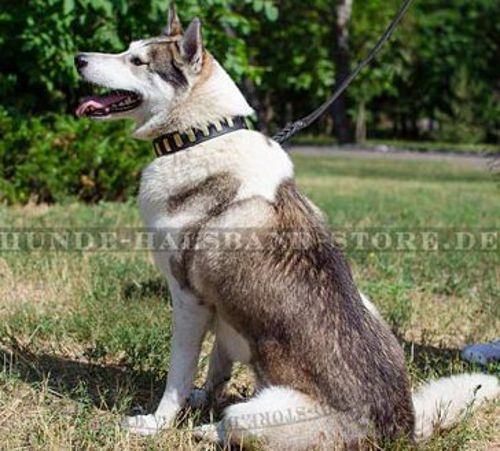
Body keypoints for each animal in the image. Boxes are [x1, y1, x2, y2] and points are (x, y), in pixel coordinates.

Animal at [75, 2, 500, 448]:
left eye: (138, 61)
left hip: (255, 415)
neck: (200, 135)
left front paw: (158, 423)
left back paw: (207, 429)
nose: (79, 59)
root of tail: (402, 427)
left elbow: (178, 376)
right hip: (369, 307)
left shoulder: (188, 299)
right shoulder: (223, 309)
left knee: (232, 423)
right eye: (127, 48)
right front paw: (202, 397)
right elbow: (216, 367)